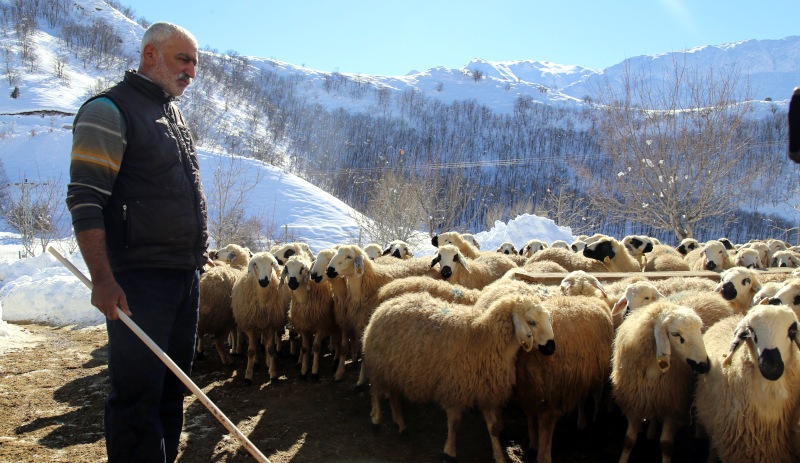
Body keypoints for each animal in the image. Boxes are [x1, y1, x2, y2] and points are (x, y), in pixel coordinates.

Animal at [364, 292, 556, 462]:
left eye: (548, 319)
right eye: (531, 322)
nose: (551, 348)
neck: (485, 338)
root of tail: (386, 305)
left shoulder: (487, 392)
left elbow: (493, 428)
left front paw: (499, 456)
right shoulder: (454, 388)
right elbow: (455, 423)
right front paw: (449, 452)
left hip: (394, 369)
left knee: (394, 395)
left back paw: (400, 425)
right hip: (378, 365)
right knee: (375, 391)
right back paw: (376, 419)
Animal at [608, 300, 708, 463]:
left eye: (699, 330)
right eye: (675, 334)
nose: (705, 365)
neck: (653, 371)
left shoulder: (672, 407)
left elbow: (666, 445)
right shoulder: (633, 403)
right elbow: (629, 440)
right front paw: (623, 459)